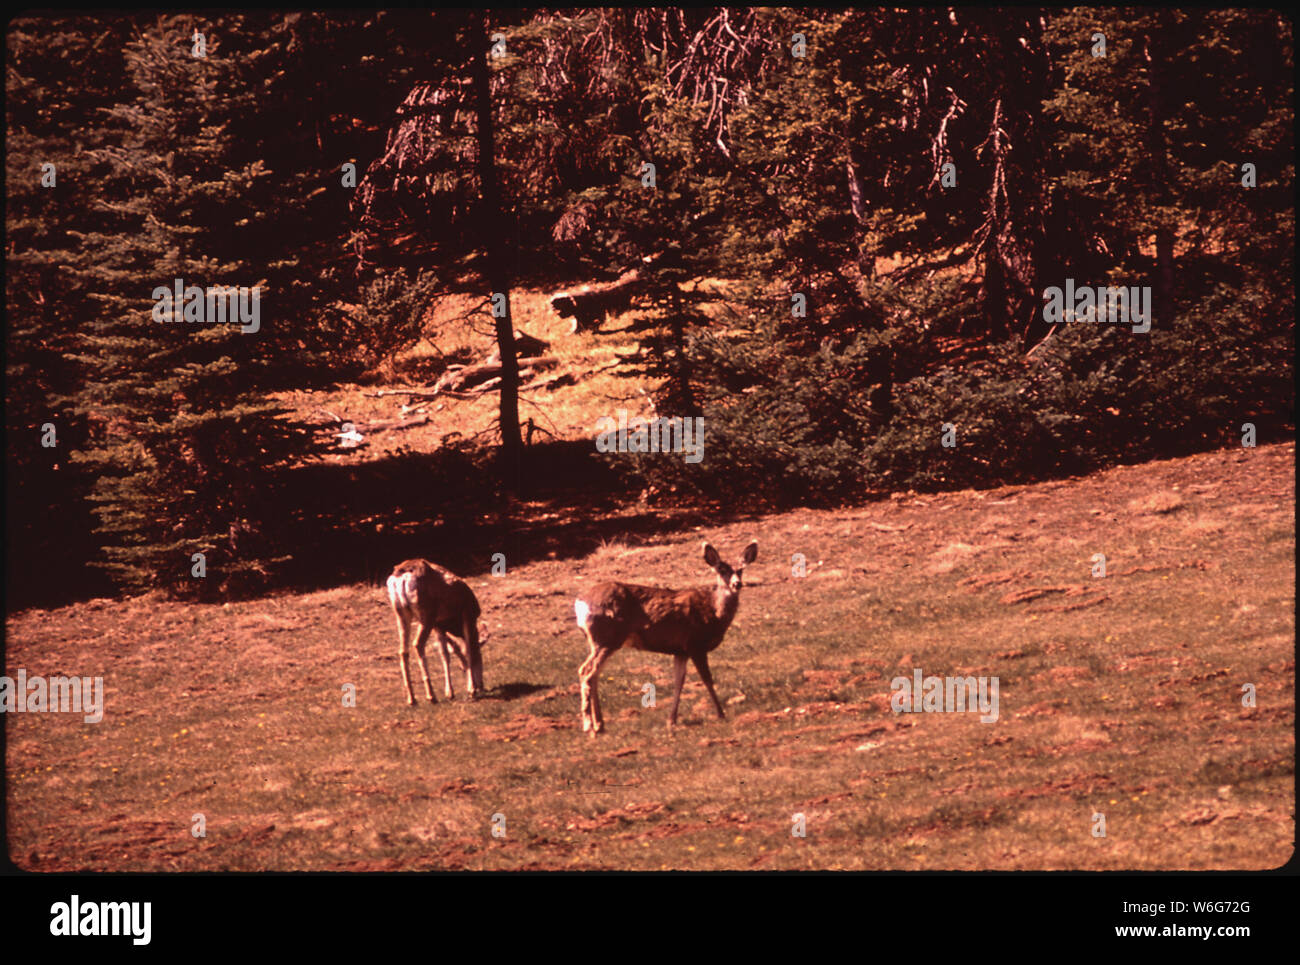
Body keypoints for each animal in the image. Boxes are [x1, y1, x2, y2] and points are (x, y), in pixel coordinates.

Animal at [387, 559, 486, 705]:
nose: (482, 686)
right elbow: (467, 649)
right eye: (481, 658)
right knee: (418, 644)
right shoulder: (467, 614)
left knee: (403, 651)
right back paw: (431, 695)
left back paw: (412, 699)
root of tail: (402, 576)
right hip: (427, 613)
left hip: (400, 612)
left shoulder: (438, 625)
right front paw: (471, 690)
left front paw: (449, 693)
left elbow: (445, 655)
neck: (453, 624)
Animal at [574, 540, 758, 734]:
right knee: (586, 671)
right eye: (721, 570)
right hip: (606, 638)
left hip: (602, 641)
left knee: (593, 673)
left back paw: (600, 724)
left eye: (741, 570)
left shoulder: (681, 651)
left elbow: (679, 681)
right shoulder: (696, 644)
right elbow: (707, 679)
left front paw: (672, 720)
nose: (737, 584)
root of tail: (580, 603)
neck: (714, 613)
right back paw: (589, 726)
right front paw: (721, 714)